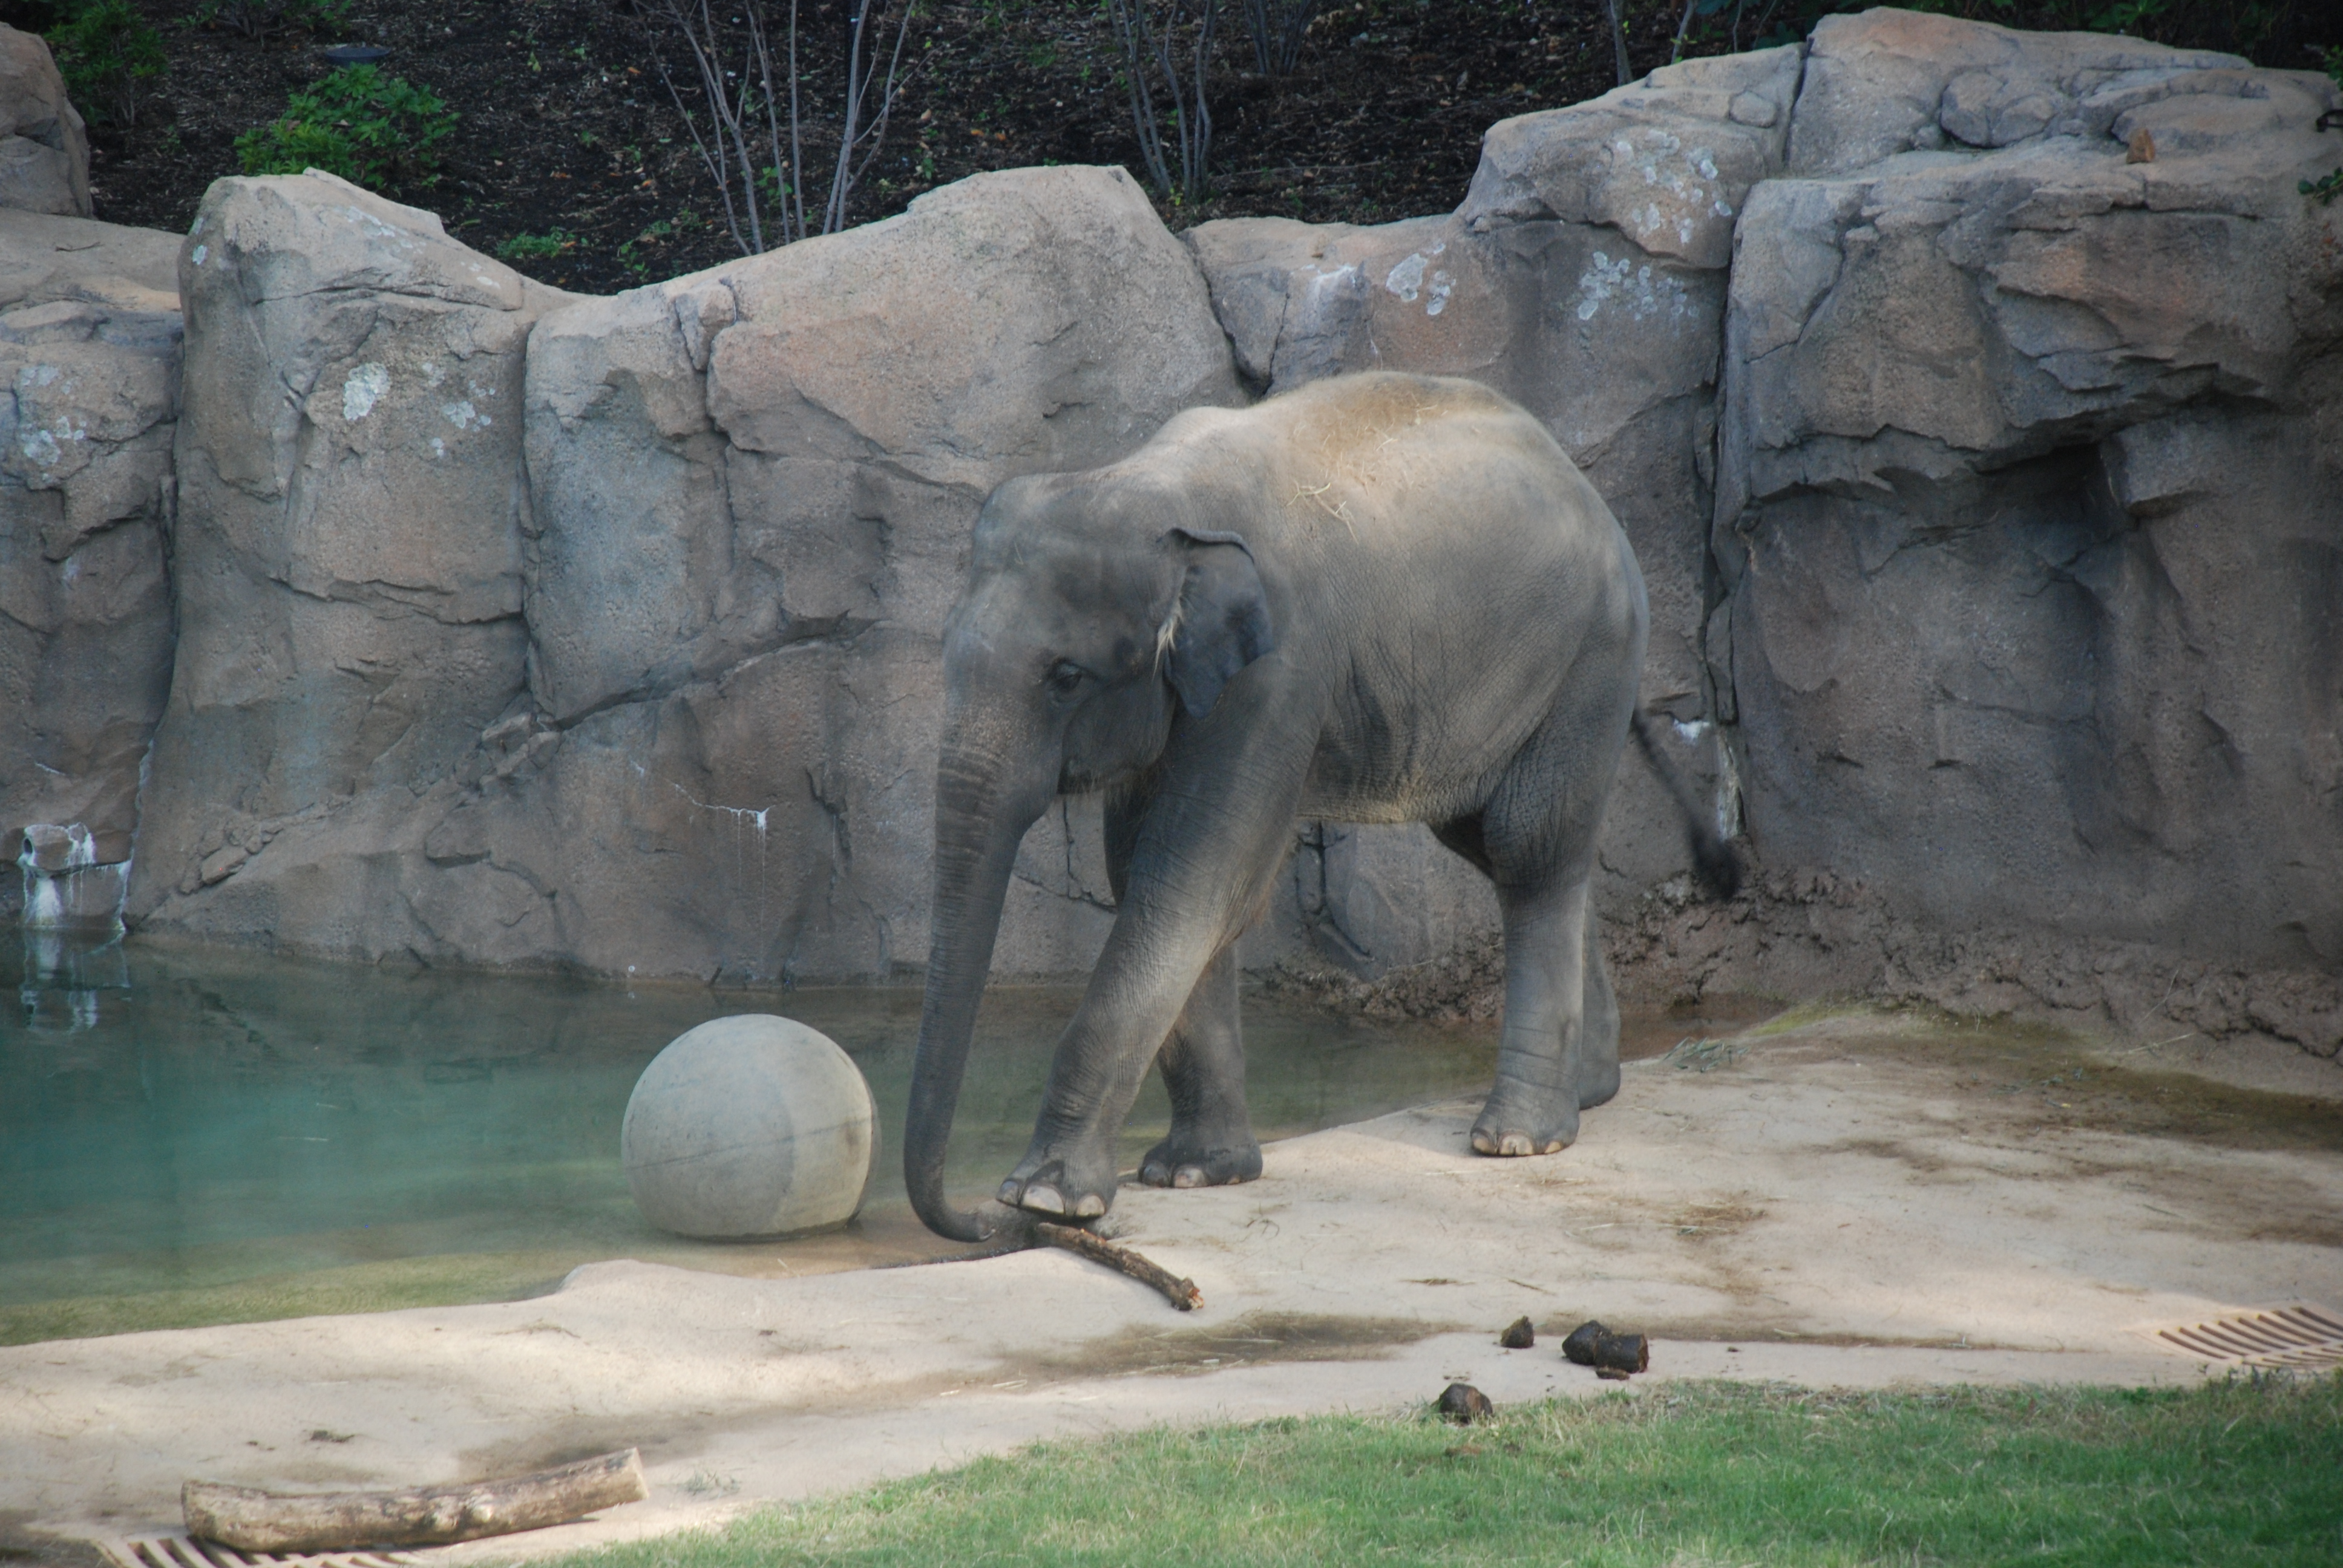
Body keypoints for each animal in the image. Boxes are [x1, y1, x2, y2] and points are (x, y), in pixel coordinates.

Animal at [904, 368, 1734, 1237]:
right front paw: (1196, 1174)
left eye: (1066, 677)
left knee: (1528, 845)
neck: (1146, 483)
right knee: (1499, 844)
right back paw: (1590, 1090)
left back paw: (1518, 1138)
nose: (977, 1221)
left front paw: (1046, 1197)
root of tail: (1579, 480)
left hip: (1591, 652)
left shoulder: (1280, 670)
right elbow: (1152, 878)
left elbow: (1193, 878)